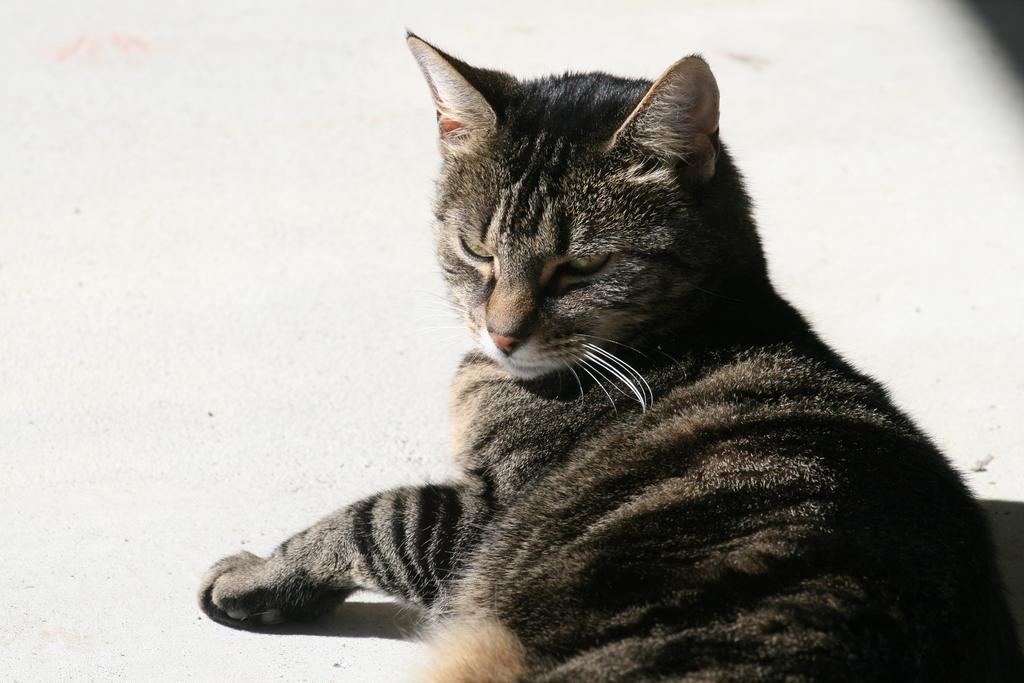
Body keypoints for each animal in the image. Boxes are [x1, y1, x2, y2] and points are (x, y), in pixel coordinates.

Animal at [195, 34, 1019, 679]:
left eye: (582, 268)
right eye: (478, 250)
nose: (500, 333)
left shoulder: (479, 520)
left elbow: (374, 517)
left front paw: (257, 575)